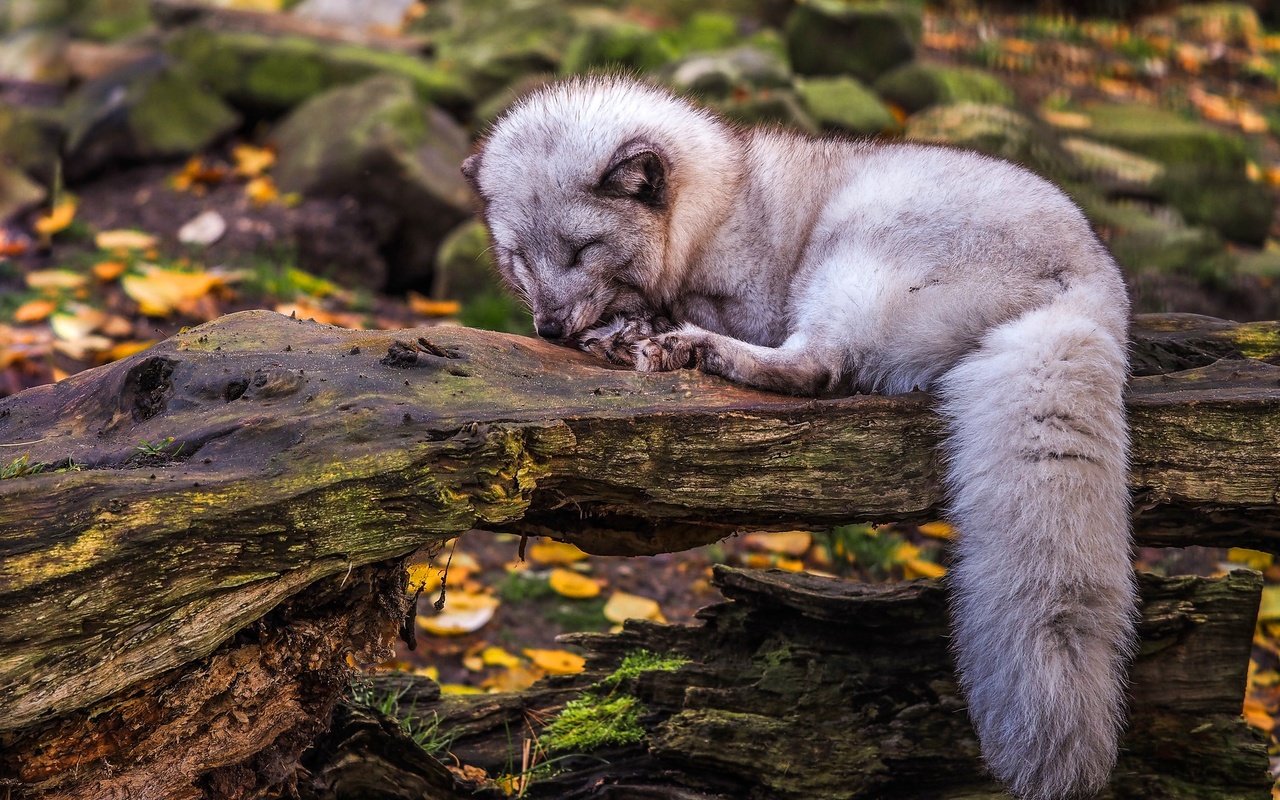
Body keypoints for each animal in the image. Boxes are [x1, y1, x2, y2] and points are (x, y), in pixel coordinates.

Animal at [463, 74, 1141, 798]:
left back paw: (688, 348)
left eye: (581, 251)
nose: (550, 328)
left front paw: (632, 331)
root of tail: (1089, 293)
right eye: (519, 258)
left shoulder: (749, 302)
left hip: (847, 254)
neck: (722, 202)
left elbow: (680, 314)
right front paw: (620, 329)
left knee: (822, 367)